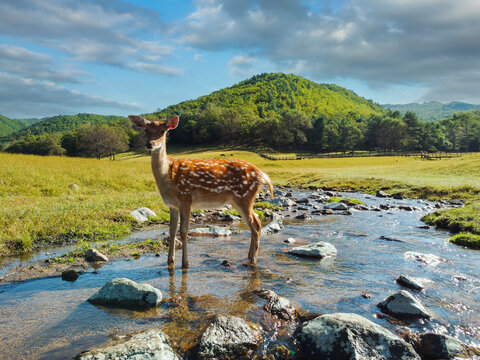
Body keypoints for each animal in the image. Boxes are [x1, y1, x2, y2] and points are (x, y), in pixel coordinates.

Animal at [128, 114, 274, 268]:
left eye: (162, 131)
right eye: (145, 130)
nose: (149, 144)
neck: (168, 176)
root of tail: (262, 175)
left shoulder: (185, 198)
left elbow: (184, 230)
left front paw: (185, 263)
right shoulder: (172, 204)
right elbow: (172, 230)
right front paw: (170, 260)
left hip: (244, 197)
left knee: (256, 225)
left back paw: (253, 260)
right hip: (239, 200)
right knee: (254, 223)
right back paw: (249, 257)